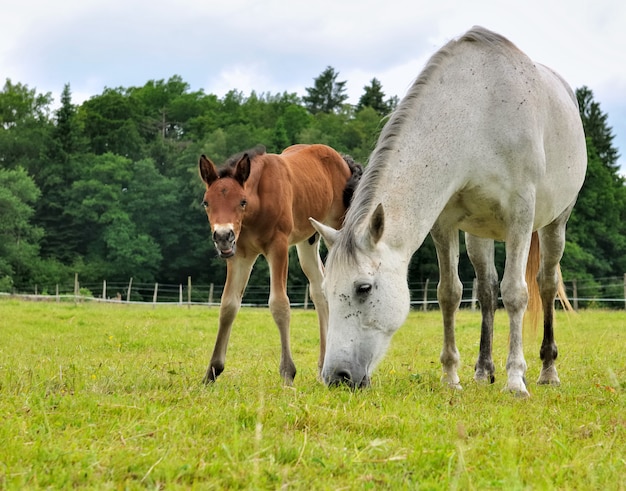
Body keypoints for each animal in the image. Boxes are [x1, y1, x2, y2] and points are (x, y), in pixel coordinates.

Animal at [310, 26, 588, 400]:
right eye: (325, 291)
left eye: (363, 288)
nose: (336, 377)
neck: (478, 114)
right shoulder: (444, 225)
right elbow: (449, 293)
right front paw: (450, 376)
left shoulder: (520, 216)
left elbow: (516, 293)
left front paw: (516, 380)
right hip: (478, 234)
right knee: (486, 291)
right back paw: (483, 371)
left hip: (553, 225)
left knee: (545, 284)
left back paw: (547, 370)